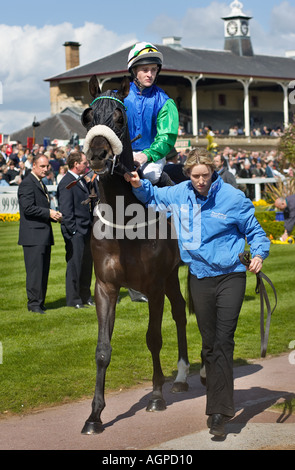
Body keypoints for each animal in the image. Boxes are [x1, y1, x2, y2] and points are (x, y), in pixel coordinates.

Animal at [80, 75, 190, 436]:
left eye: (120, 117)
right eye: (88, 116)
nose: (98, 155)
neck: (124, 219)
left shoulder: (153, 285)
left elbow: (153, 338)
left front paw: (155, 397)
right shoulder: (105, 286)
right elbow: (102, 349)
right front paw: (95, 415)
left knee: (183, 314)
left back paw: (186, 375)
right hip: (171, 275)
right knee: (181, 310)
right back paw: (181, 377)